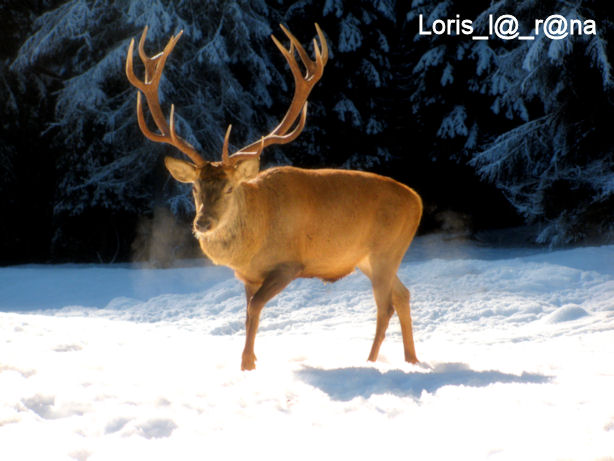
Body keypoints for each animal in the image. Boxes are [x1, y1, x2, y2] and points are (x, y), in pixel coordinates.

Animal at [125, 25, 424, 370]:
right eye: (195, 188)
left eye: (229, 187)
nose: (202, 223)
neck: (254, 238)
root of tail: (417, 201)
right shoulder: (248, 276)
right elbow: (248, 314)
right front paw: (251, 361)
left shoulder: (288, 264)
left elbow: (255, 308)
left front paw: (247, 363)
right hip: (368, 258)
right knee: (403, 295)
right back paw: (412, 360)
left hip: (386, 251)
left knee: (385, 305)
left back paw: (372, 362)